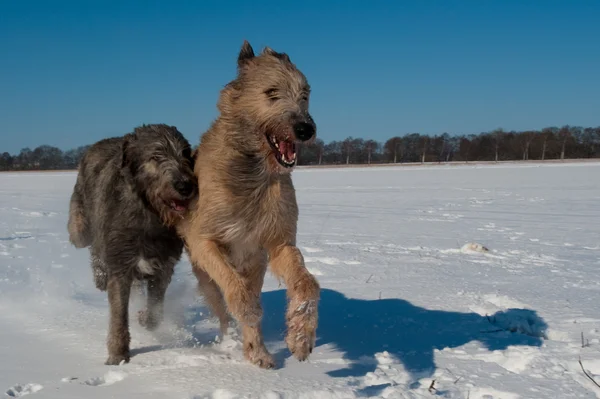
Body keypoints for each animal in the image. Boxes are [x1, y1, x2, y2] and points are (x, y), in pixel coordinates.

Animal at [67, 125, 197, 366]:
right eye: (156, 156)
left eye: (186, 154)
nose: (185, 186)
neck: (149, 214)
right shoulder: (120, 261)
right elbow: (119, 313)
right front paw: (118, 354)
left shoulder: (163, 265)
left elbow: (156, 310)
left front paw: (144, 318)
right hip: (81, 223)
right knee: (88, 241)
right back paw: (99, 275)